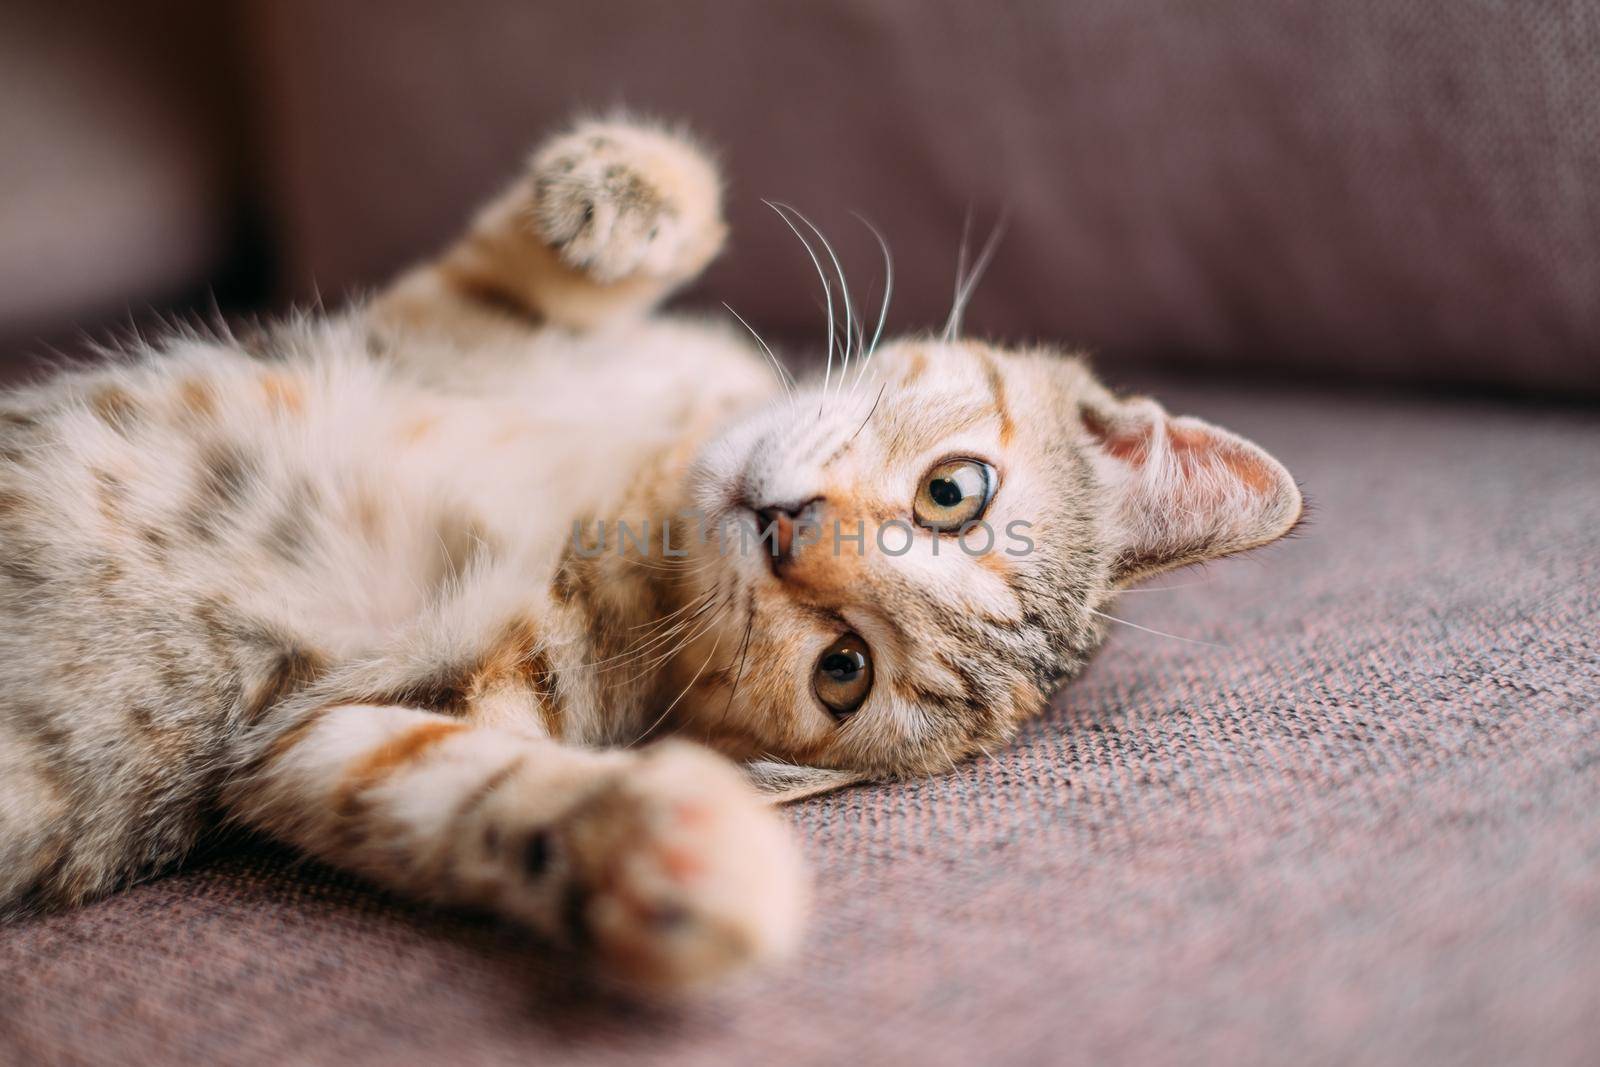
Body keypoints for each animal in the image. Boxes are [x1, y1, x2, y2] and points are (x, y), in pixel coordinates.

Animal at [0, 119, 1299, 991]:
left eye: (842, 669)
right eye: (955, 491)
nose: (786, 525)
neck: (636, 495)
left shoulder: (306, 741)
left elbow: (450, 789)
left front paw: (679, 849)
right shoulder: (430, 329)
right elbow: (518, 270)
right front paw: (631, 195)